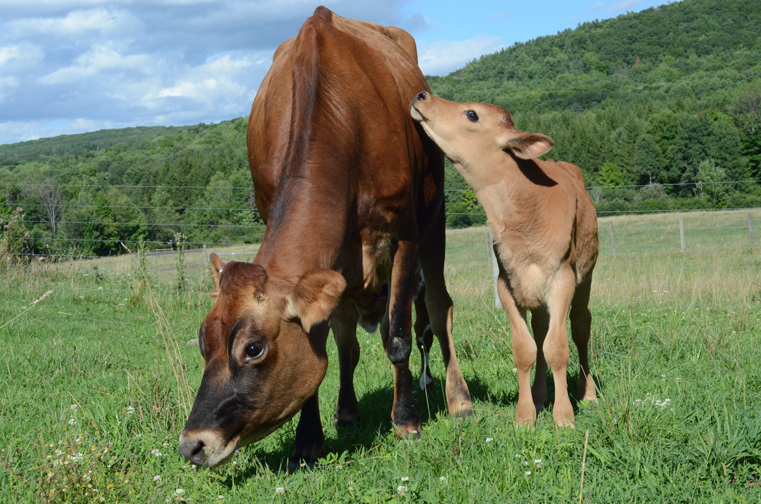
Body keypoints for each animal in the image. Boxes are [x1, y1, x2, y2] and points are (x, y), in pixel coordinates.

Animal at [179, 6, 472, 468]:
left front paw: (406, 421)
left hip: (434, 219)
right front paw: (308, 439)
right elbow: (328, 343)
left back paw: (459, 399)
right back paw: (347, 411)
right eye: (203, 342)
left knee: (439, 310)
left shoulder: (405, 234)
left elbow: (399, 338)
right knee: (349, 341)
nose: (192, 444)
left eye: (253, 349)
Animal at [410, 92, 600, 428]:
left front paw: (564, 416)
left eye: (472, 114)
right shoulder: (507, 283)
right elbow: (525, 349)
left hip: (585, 278)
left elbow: (557, 348)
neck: (525, 209)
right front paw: (525, 415)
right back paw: (539, 394)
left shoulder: (562, 279)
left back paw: (588, 393)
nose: (423, 95)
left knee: (580, 327)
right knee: (540, 331)